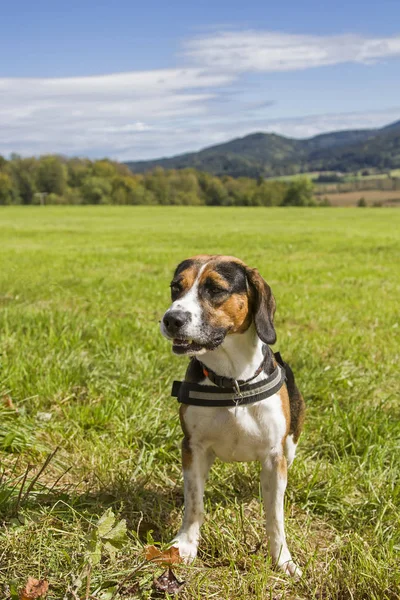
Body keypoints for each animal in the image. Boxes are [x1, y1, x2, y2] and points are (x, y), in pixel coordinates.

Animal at [161, 253, 304, 576]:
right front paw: (185, 545)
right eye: (176, 288)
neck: (232, 380)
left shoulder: (274, 457)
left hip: (290, 446)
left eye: (215, 289)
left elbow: (275, 517)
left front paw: (283, 560)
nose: (171, 319)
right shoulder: (193, 448)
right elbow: (194, 503)